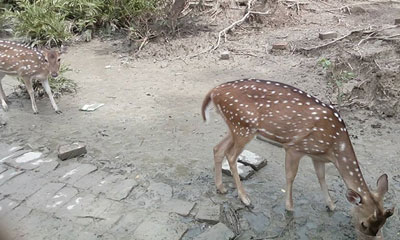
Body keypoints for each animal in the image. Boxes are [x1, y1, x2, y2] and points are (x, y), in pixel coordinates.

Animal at [202, 79, 396, 238]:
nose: (372, 236)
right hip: (243, 126)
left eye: (381, 227)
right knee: (230, 155)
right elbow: (291, 176)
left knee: (217, 148)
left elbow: (321, 177)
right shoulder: (295, 147)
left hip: (235, 126)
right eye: (364, 224)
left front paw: (331, 205)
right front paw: (289, 207)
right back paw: (245, 198)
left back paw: (221, 188)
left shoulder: (317, 156)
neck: (333, 147)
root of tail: (213, 91)